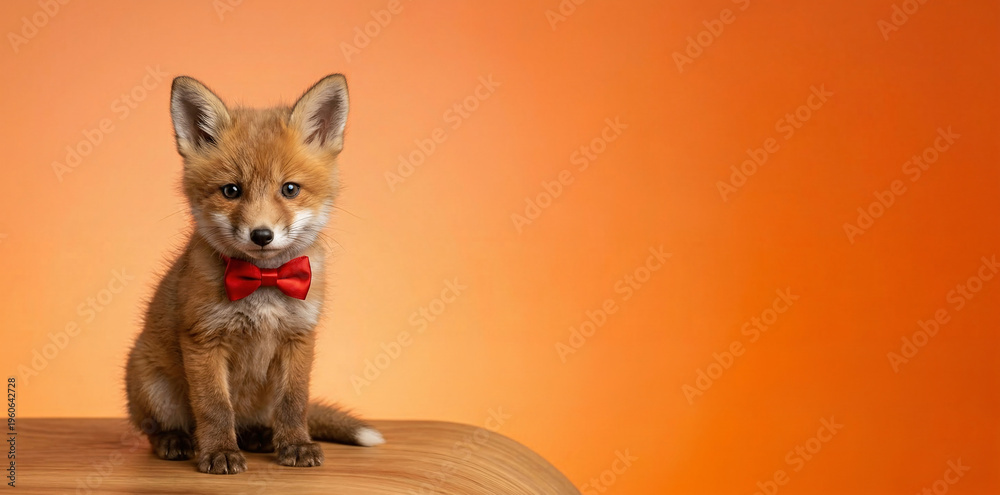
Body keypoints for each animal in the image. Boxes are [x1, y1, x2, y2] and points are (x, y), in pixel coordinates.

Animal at [124, 74, 384, 475]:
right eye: (231, 190)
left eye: (289, 189)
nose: (262, 235)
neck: (263, 282)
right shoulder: (203, 339)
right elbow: (214, 406)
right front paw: (219, 452)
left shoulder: (299, 338)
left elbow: (294, 403)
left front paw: (295, 445)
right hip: (153, 385)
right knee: (163, 427)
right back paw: (177, 440)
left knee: (262, 420)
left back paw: (261, 436)